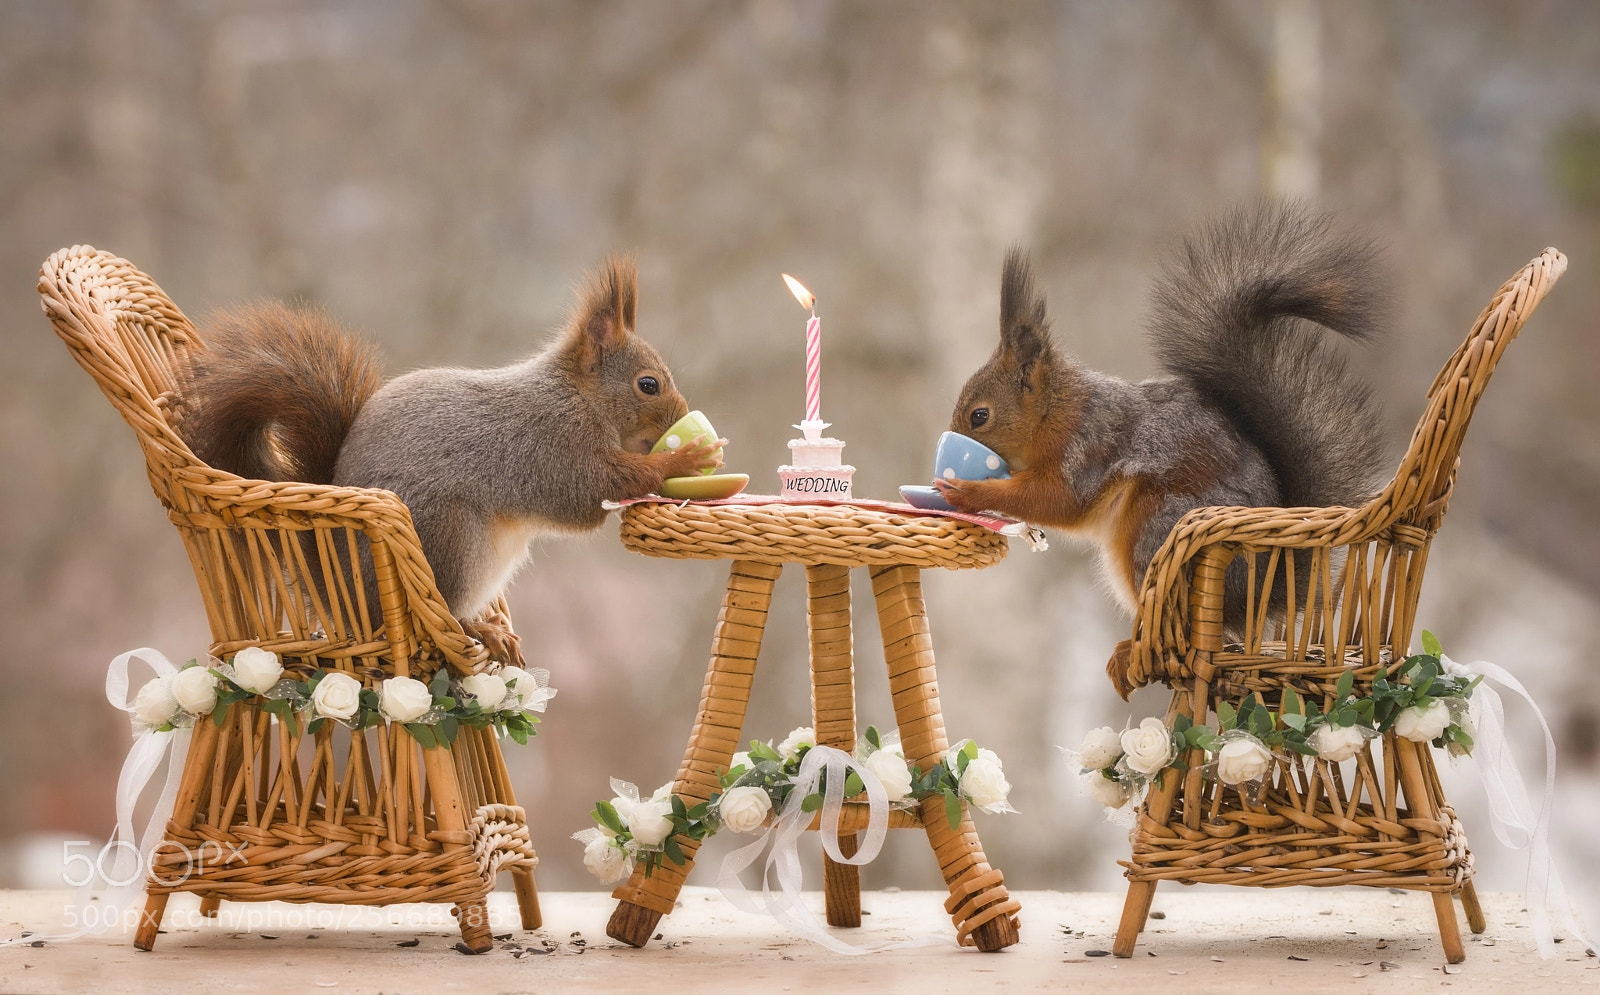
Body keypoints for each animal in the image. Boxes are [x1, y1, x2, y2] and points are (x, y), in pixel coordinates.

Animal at [179, 255, 722, 664]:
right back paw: (479, 630)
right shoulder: (548, 446)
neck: (578, 397)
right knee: (440, 615)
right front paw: (682, 460)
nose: (681, 417)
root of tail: (351, 601)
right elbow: (588, 488)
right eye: (647, 385)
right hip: (448, 538)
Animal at [936, 202, 1388, 691]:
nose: (949, 443)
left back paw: (1136, 651)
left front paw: (966, 491)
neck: (1057, 412)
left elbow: (1056, 500)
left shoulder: (1089, 448)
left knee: (1189, 632)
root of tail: (1256, 594)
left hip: (1154, 532)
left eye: (979, 416)